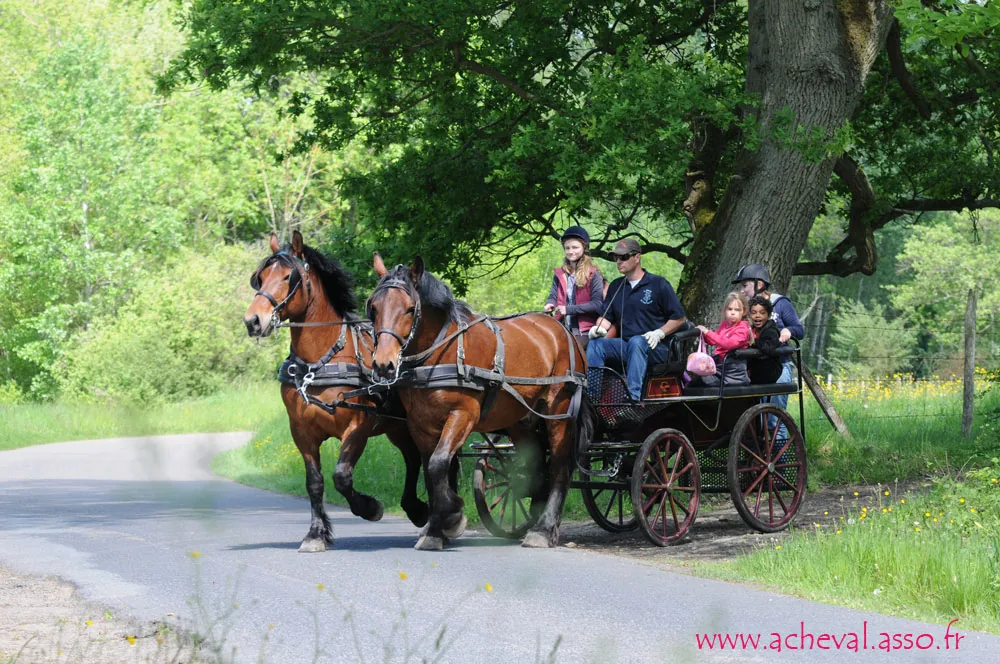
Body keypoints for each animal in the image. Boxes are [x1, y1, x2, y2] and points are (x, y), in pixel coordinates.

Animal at [243, 231, 429, 552]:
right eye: (262, 277)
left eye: (288, 276)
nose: (253, 320)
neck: (319, 363)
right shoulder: (301, 431)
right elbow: (314, 482)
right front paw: (316, 534)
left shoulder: (358, 426)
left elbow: (341, 476)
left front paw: (370, 507)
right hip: (397, 427)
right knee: (413, 458)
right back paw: (416, 509)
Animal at [367, 254, 595, 550]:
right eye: (373, 308)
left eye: (409, 309)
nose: (383, 365)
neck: (441, 351)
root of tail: (563, 331)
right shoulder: (420, 424)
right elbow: (431, 471)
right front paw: (436, 529)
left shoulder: (462, 415)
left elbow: (438, 464)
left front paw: (452, 513)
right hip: (520, 419)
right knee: (535, 462)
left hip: (559, 413)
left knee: (559, 466)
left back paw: (543, 529)